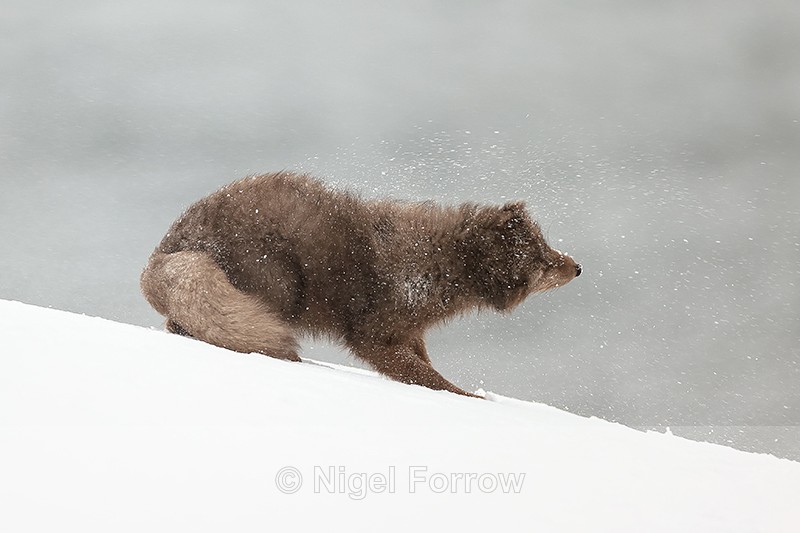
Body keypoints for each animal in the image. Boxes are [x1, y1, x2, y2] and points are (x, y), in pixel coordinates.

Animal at [141, 171, 581, 397]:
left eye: (546, 244)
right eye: (542, 261)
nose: (577, 267)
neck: (438, 263)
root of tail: (160, 255)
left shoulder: (411, 331)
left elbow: (425, 363)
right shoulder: (374, 335)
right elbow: (424, 376)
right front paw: (469, 395)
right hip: (277, 281)